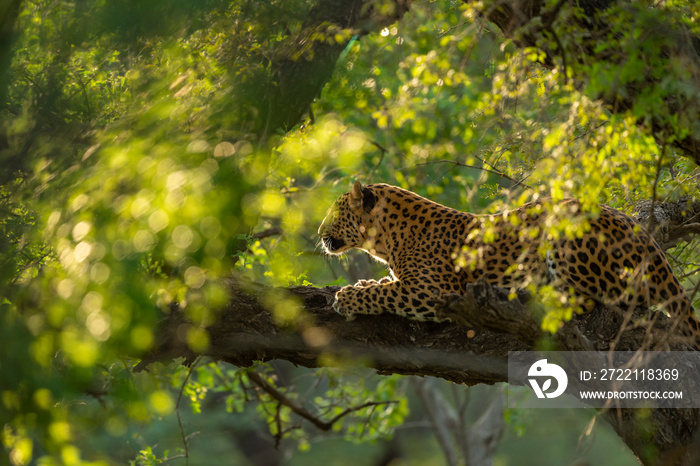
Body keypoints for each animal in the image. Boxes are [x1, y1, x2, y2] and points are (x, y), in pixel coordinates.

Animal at [318, 180, 700, 344]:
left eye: (335, 212)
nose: (319, 234)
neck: (387, 241)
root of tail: (645, 237)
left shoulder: (434, 292)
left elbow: (385, 295)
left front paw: (347, 297)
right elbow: (385, 286)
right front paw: (368, 282)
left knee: (602, 299)